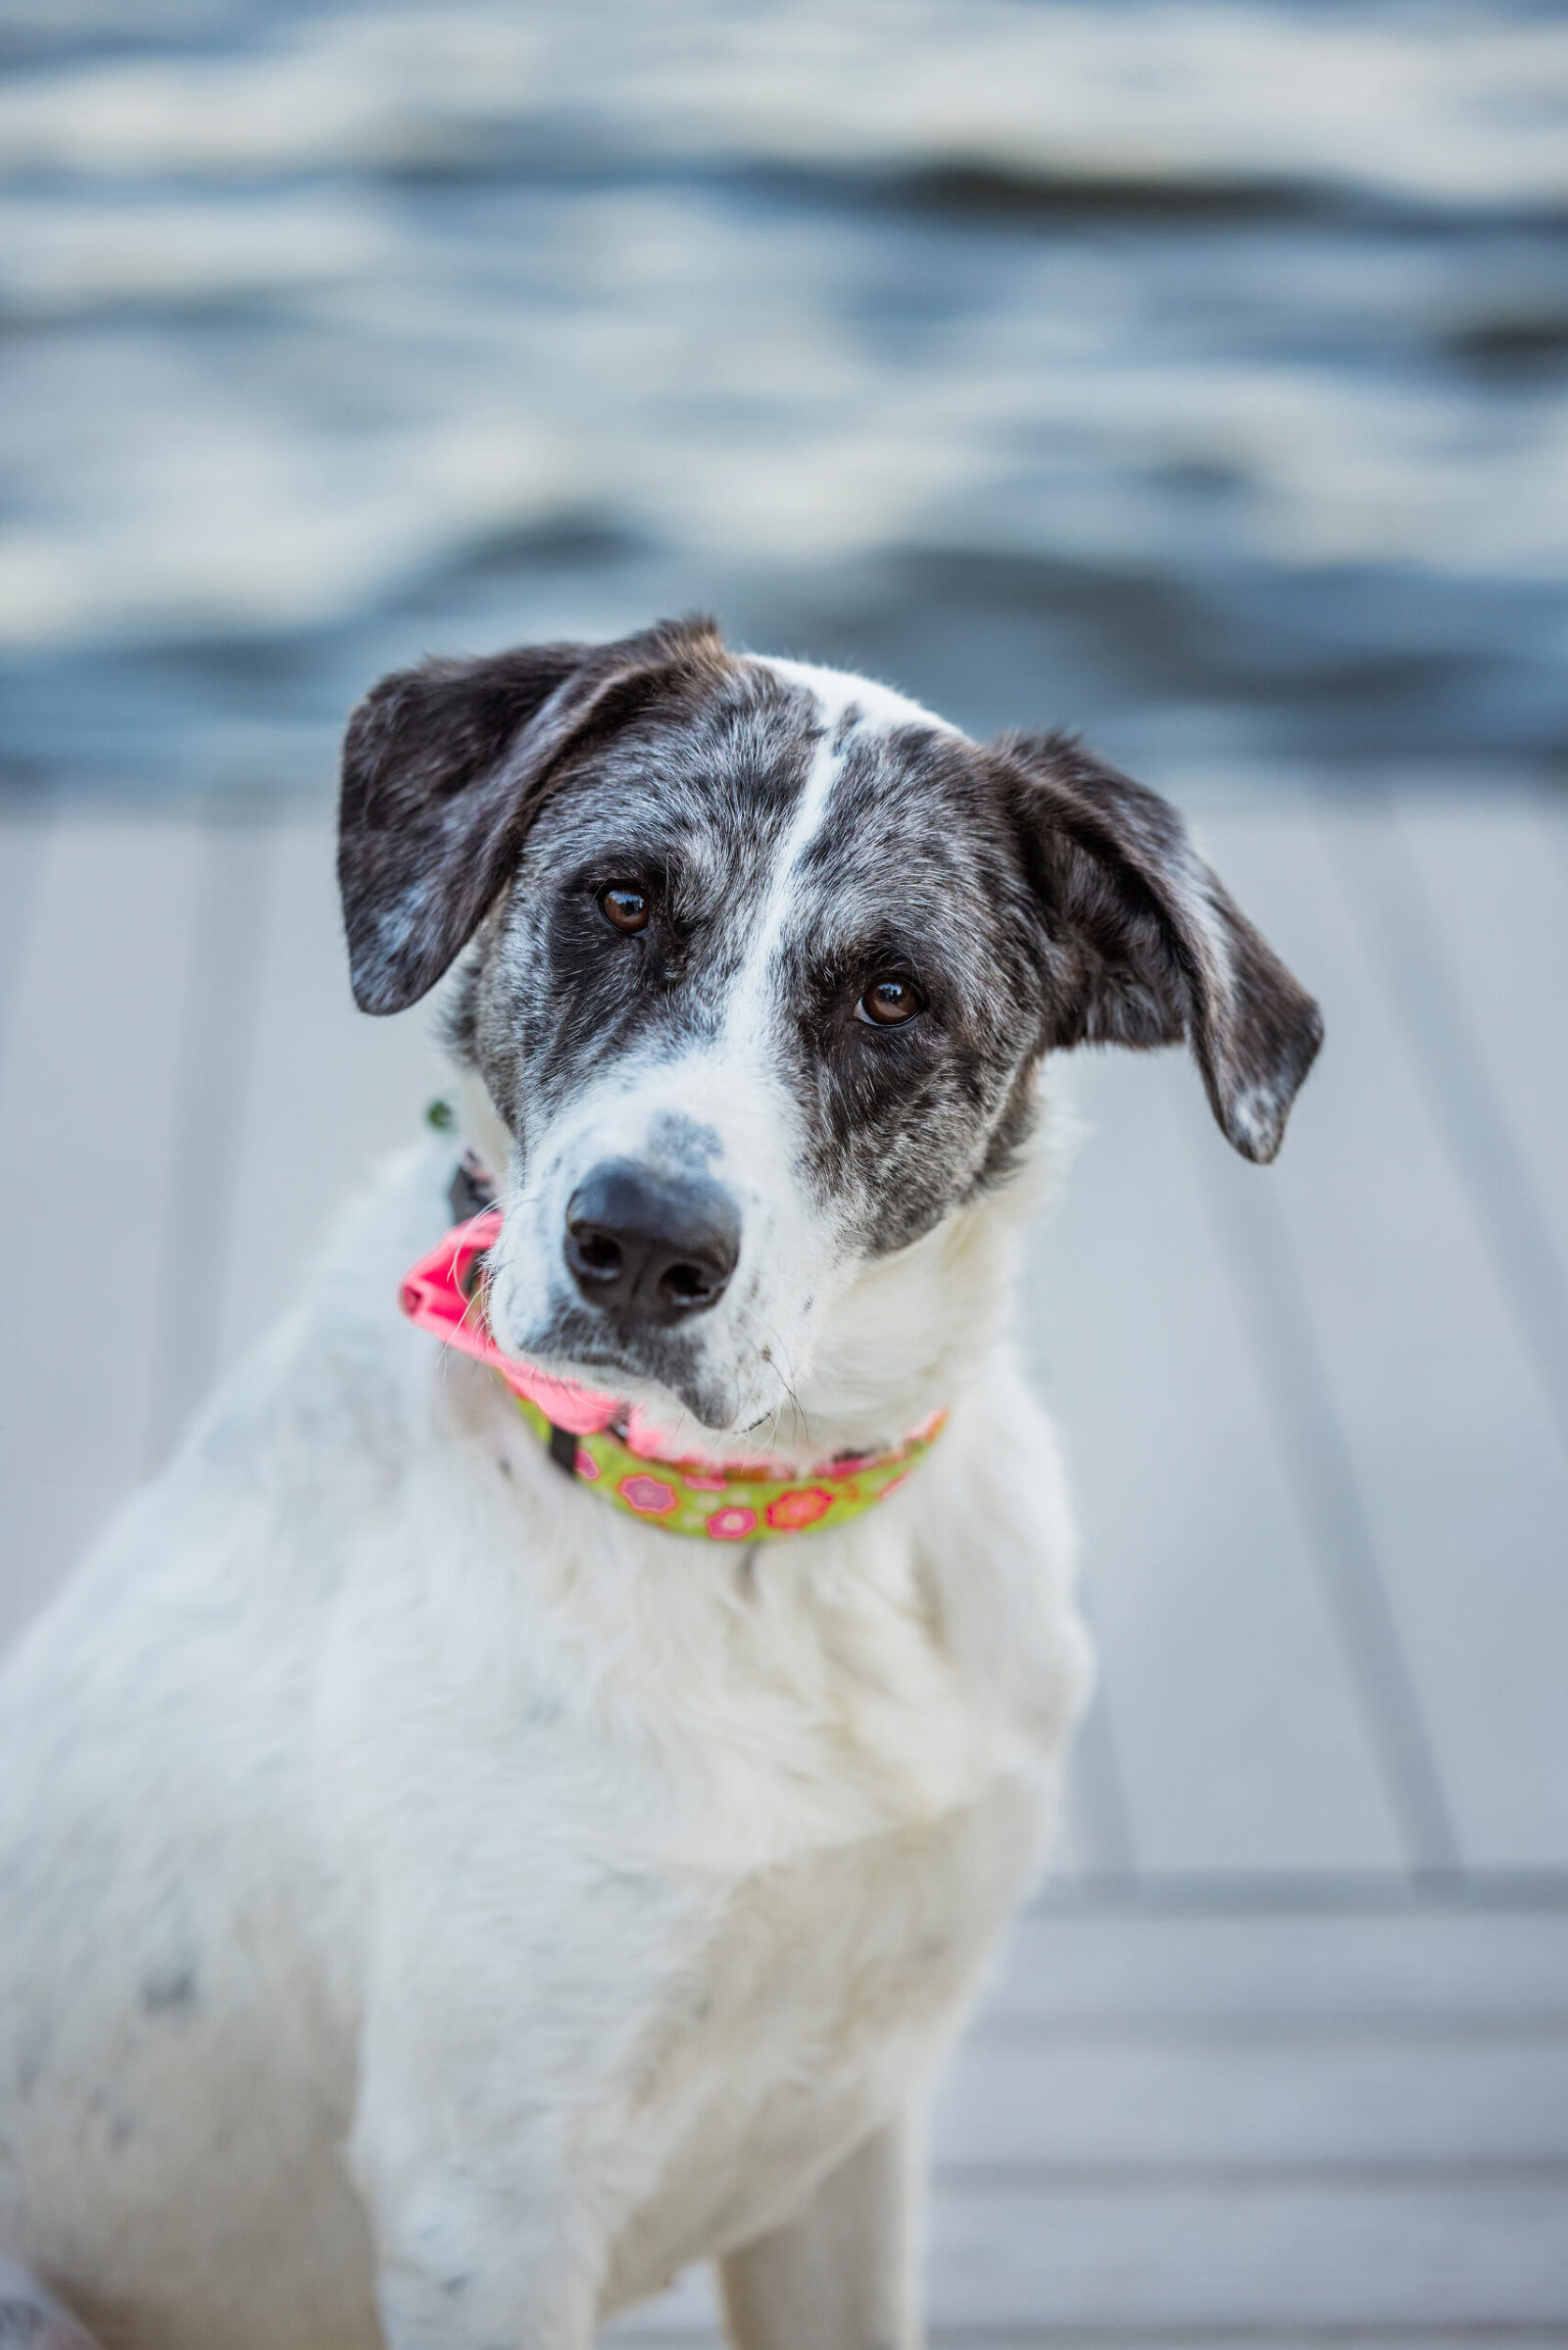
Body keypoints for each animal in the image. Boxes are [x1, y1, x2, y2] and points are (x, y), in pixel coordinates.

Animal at [0, 624, 1325, 2350]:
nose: (637, 1243)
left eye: (892, 995)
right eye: (620, 899)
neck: (761, 1541)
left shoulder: (853, 2140)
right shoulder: (486, 2207)